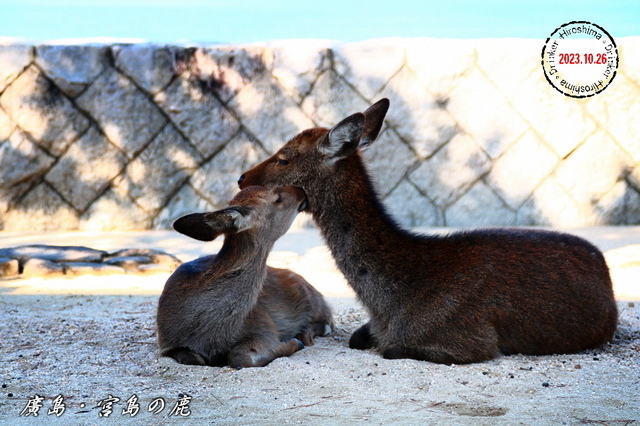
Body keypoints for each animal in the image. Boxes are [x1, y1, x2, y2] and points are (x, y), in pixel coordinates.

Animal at [156, 186, 336, 370]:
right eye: (277, 198)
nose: (300, 190)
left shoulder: (264, 326)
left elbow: (239, 356)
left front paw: (293, 342)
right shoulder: (167, 343)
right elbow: (192, 358)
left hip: (315, 302)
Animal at [238, 98, 616, 364]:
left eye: (284, 157)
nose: (242, 178)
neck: (388, 304)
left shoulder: (472, 341)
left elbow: (390, 349)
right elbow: (358, 339)